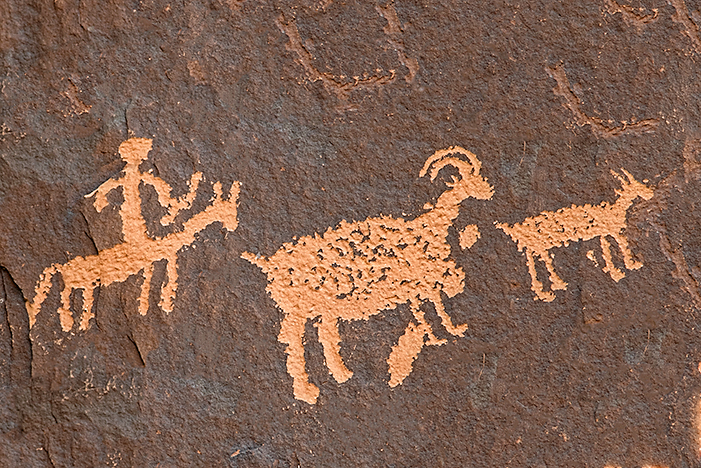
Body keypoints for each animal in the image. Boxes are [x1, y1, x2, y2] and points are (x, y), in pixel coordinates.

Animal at [242, 147, 493, 404]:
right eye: (469, 181)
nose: (489, 191)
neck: (431, 226)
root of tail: (270, 263)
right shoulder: (422, 281)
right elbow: (433, 308)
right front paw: (442, 334)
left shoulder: (418, 285)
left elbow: (428, 308)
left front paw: (442, 333)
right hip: (300, 309)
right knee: (294, 342)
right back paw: (306, 390)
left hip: (324, 307)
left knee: (325, 335)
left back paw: (341, 374)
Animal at [496, 168, 654, 302]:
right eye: (639, 186)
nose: (651, 194)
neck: (614, 209)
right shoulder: (611, 230)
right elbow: (621, 244)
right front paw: (631, 264)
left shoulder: (604, 232)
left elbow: (606, 250)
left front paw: (615, 271)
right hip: (540, 243)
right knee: (542, 260)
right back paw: (556, 285)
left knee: (532, 258)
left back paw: (544, 291)